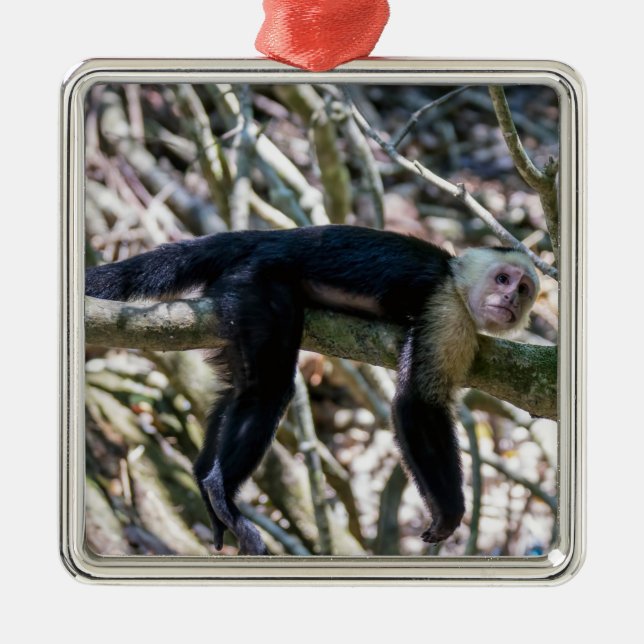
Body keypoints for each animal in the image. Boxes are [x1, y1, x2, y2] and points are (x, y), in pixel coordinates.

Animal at [85, 225, 539, 555]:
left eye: (523, 289)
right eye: (502, 278)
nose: (509, 300)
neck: (455, 279)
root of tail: (270, 236)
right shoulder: (447, 309)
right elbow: (417, 404)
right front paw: (448, 512)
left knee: (238, 390)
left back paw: (206, 487)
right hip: (256, 282)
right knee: (268, 389)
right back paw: (221, 490)